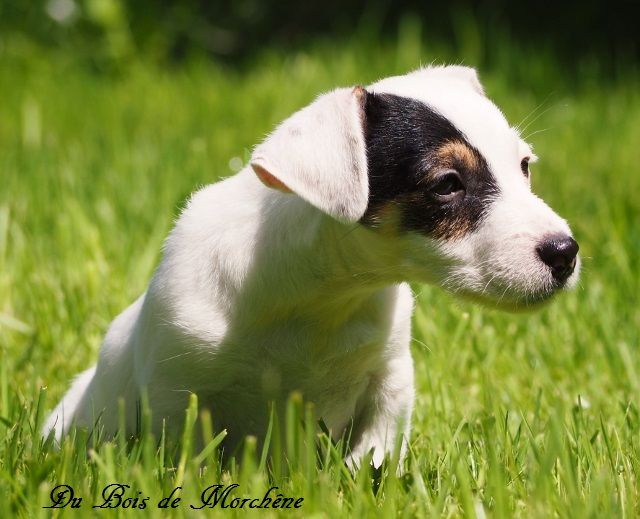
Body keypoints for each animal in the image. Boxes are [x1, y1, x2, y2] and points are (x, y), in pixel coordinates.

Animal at [42, 66, 576, 468]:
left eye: (524, 165)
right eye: (447, 183)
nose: (565, 252)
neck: (322, 300)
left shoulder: (391, 381)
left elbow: (375, 452)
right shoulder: (175, 391)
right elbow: (183, 460)